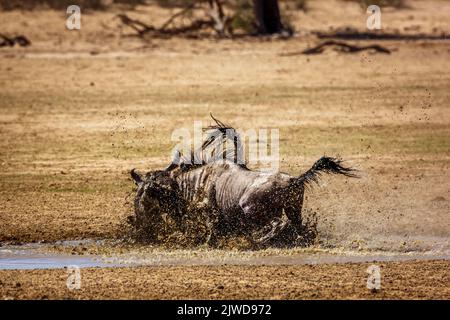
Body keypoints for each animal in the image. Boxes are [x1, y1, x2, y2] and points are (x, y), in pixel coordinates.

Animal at [129, 117, 356, 248]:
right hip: (294, 209)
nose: (139, 222)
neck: (192, 182)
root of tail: (293, 180)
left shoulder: (211, 213)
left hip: (251, 207)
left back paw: (257, 241)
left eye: (150, 193)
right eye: (137, 193)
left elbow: (210, 231)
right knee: (296, 226)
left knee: (277, 224)